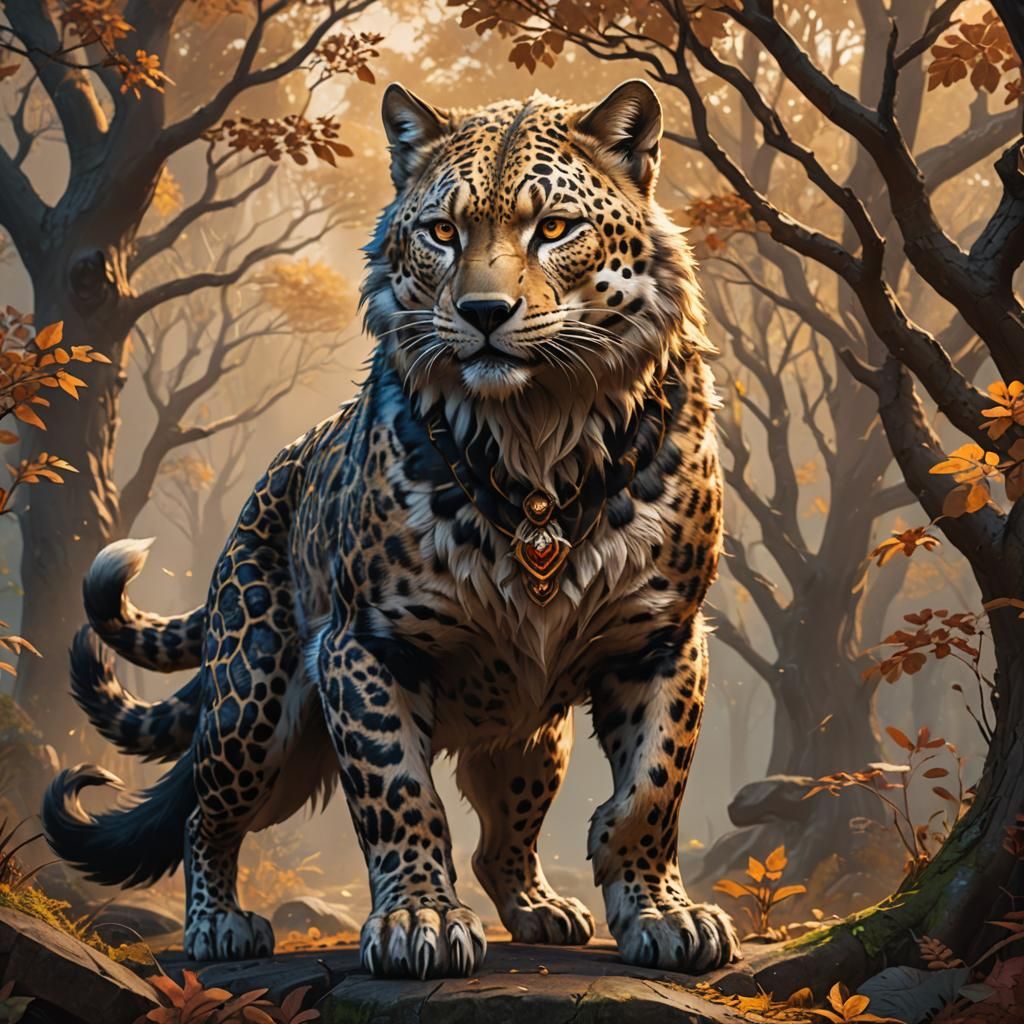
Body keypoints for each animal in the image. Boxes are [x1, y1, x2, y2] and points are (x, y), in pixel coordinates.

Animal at [43, 79, 739, 979]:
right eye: (442, 232)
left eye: (552, 228)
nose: (483, 312)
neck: (538, 441)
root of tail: (261, 489)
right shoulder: (366, 646)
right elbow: (400, 793)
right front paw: (420, 923)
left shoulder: (661, 637)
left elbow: (652, 786)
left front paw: (662, 912)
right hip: (252, 708)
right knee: (207, 812)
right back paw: (218, 925)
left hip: (530, 731)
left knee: (503, 834)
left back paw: (540, 909)